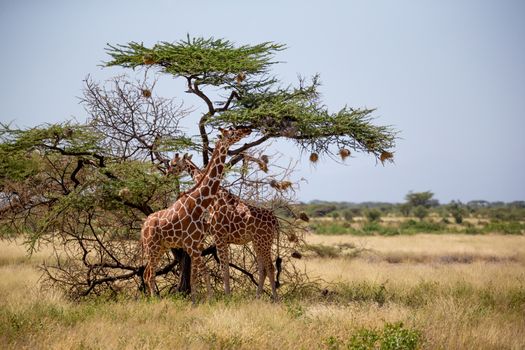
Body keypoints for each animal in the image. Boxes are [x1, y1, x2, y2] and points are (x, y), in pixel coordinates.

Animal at [140, 127, 251, 300]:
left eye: (174, 163)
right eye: (231, 132)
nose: (248, 129)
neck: (199, 204)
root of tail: (143, 225)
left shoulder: (197, 244)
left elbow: (196, 275)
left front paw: (197, 300)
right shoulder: (192, 245)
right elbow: (203, 273)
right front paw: (208, 300)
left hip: (160, 247)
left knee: (147, 273)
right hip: (152, 247)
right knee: (149, 274)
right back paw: (155, 300)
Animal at [171, 152, 278, 300]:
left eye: (174, 163)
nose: (168, 172)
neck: (213, 199)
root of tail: (275, 220)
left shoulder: (219, 236)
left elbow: (224, 268)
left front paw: (227, 296)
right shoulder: (222, 239)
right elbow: (226, 266)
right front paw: (228, 295)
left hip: (264, 241)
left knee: (270, 267)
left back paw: (276, 299)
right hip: (258, 242)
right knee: (263, 268)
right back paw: (257, 298)